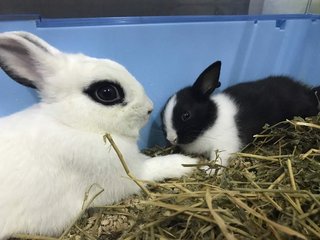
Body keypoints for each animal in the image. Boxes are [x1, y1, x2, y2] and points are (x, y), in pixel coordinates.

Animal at [0, 31, 198, 238]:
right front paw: (186, 163)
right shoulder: (130, 174)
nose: (149, 108)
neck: (72, 123)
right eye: (107, 92)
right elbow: (156, 167)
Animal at [162, 60, 320, 167]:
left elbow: (218, 159)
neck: (210, 121)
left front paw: (209, 170)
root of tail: (309, 93)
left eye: (186, 115)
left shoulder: (224, 145)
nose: (171, 139)